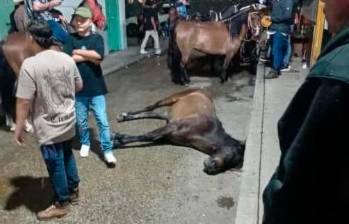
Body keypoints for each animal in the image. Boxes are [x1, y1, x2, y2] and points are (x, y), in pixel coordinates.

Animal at [113, 89, 245, 175]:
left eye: (231, 167)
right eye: (233, 155)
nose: (211, 169)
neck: (205, 131)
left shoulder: (168, 134)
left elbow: (150, 137)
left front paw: (118, 139)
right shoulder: (172, 127)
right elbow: (147, 135)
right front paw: (116, 139)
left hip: (169, 115)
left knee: (152, 113)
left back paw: (125, 117)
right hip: (170, 99)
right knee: (150, 107)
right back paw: (124, 115)